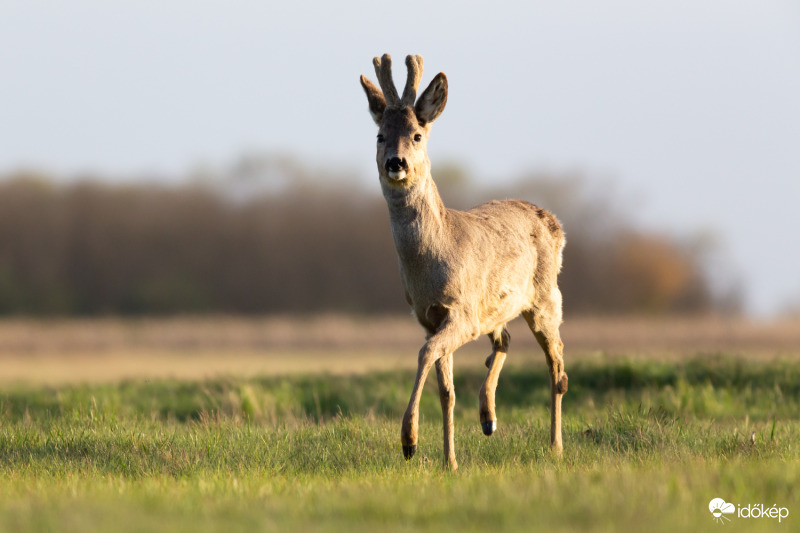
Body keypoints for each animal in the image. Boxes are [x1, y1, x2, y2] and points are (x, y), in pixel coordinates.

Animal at [360, 55, 564, 470]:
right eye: (380, 136)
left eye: (417, 135)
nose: (395, 162)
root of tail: (555, 223)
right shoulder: (429, 318)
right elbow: (447, 390)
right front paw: (449, 461)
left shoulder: (461, 311)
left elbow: (425, 355)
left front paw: (409, 442)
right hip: (497, 307)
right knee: (505, 339)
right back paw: (488, 418)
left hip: (545, 297)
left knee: (557, 365)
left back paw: (555, 446)